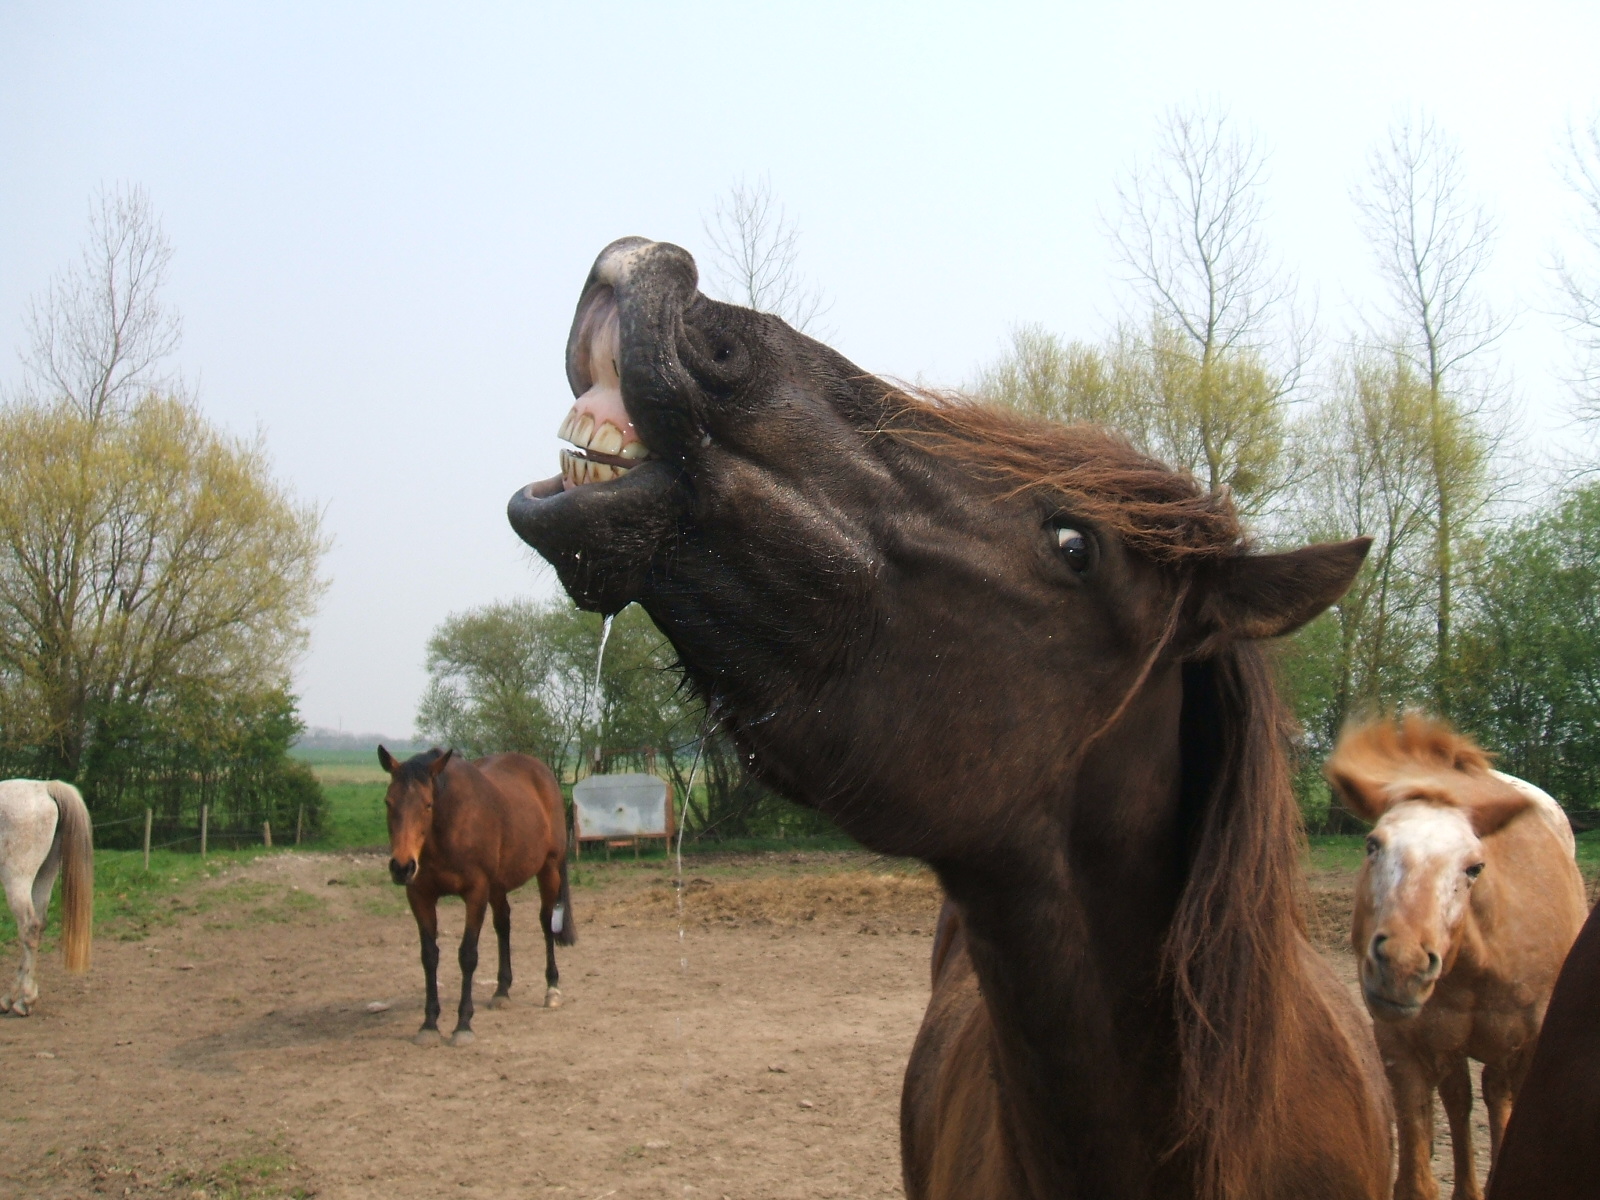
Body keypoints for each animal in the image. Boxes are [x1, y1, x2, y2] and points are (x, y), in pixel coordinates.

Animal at [0, 779, 93, 1015]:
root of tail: (44, 788)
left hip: (18, 878)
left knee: (29, 927)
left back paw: (24, 1000)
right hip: (46, 873)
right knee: (39, 925)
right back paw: (13, 998)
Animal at [378, 746, 575, 1046]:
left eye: (428, 804)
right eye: (389, 802)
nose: (402, 867)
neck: (447, 827)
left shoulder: (476, 892)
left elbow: (467, 955)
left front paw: (463, 1025)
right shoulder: (420, 896)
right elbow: (429, 956)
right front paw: (429, 1024)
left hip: (549, 869)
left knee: (546, 923)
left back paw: (552, 989)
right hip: (499, 885)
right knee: (503, 924)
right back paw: (502, 991)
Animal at [1326, 714, 1587, 1200]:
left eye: (1474, 867)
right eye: (1373, 845)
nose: (1403, 966)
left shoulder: (1530, 1052)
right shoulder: (1403, 1049)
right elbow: (1415, 1180)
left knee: (1492, 1095)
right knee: (1461, 1099)